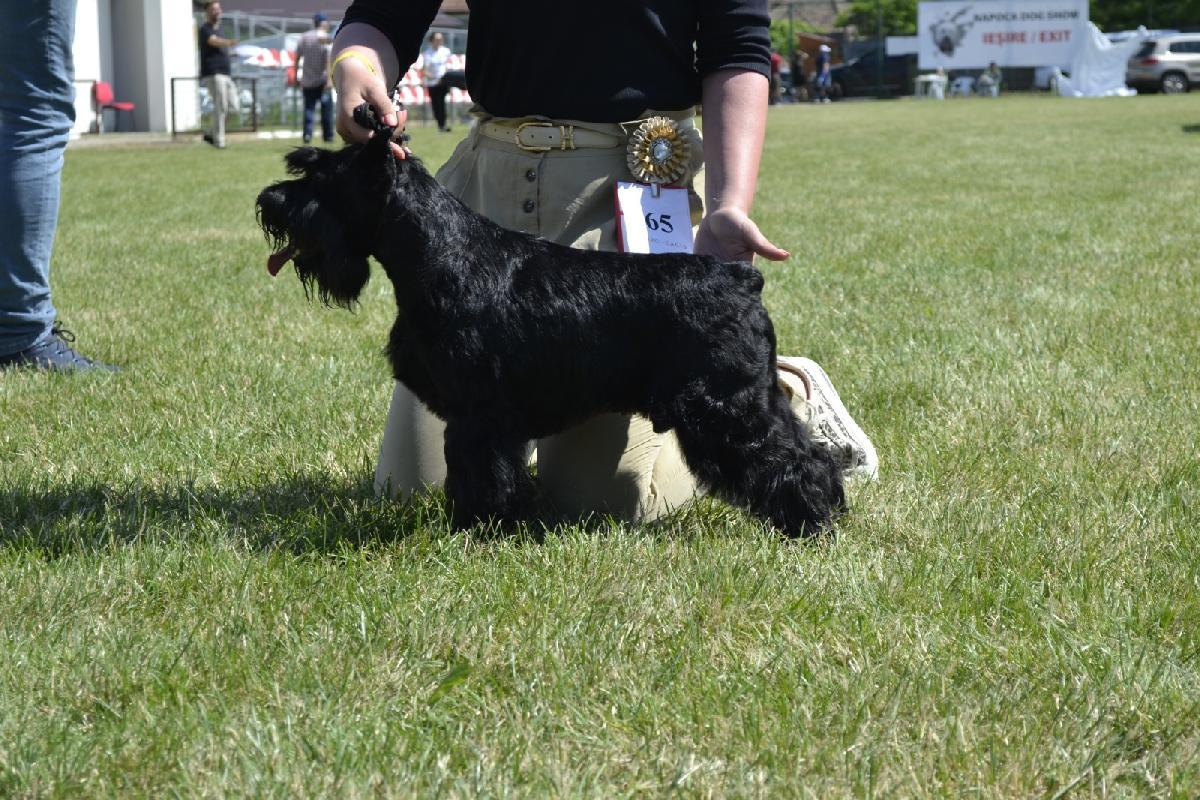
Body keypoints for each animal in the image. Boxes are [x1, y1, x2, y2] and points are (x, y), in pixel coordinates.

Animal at [256, 105, 844, 536]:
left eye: (321, 179)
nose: (268, 200)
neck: (443, 254)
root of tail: (742, 277)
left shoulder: (480, 417)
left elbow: (481, 475)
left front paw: (478, 529)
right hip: (747, 396)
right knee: (809, 449)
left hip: (724, 405)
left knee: (790, 460)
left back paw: (810, 522)